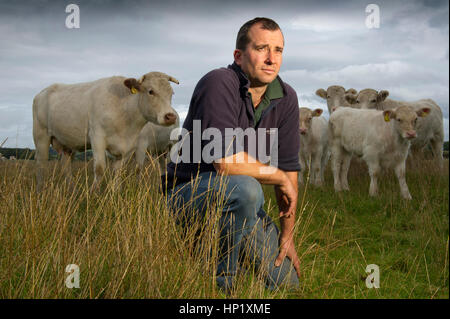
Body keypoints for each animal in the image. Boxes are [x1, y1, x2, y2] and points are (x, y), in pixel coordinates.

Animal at [33, 71, 179, 189]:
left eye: (171, 93)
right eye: (151, 91)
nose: (170, 116)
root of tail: (43, 91)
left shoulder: (129, 146)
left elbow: (119, 172)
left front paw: (115, 193)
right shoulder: (98, 136)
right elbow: (100, 168)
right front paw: (93, 195)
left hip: (67, 144)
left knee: (65, 167)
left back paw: (72, 191)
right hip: (41, 136)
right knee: (41, 164)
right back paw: (40, 191)